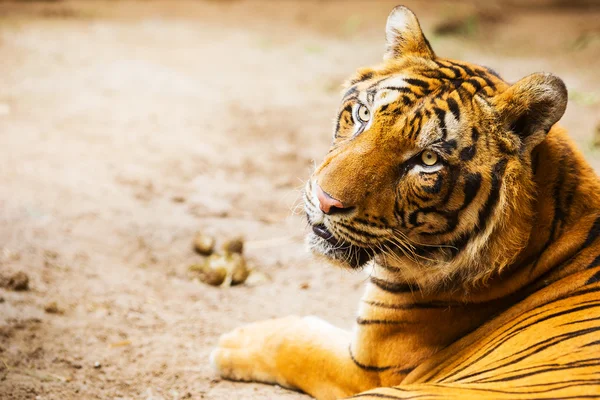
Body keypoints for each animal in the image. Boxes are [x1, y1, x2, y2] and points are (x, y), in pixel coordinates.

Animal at [210, 6, 600, 400]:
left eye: (428, 160)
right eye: (363, 114)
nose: (325, 200)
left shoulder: (363, 369)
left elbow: (295, 343)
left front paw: (233, 341)